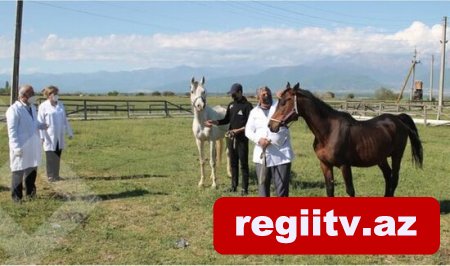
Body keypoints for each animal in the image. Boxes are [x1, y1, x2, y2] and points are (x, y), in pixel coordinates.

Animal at [268, 83, 424, 197]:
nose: (271, 126)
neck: (329, 132)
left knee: (394, 179)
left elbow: (350, 191)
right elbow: (329, 189)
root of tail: (398, 118)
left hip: (397, 155)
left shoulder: (345, 165)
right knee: (387, 176)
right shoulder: (325, 165)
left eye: (285, 102)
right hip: (381, 158)